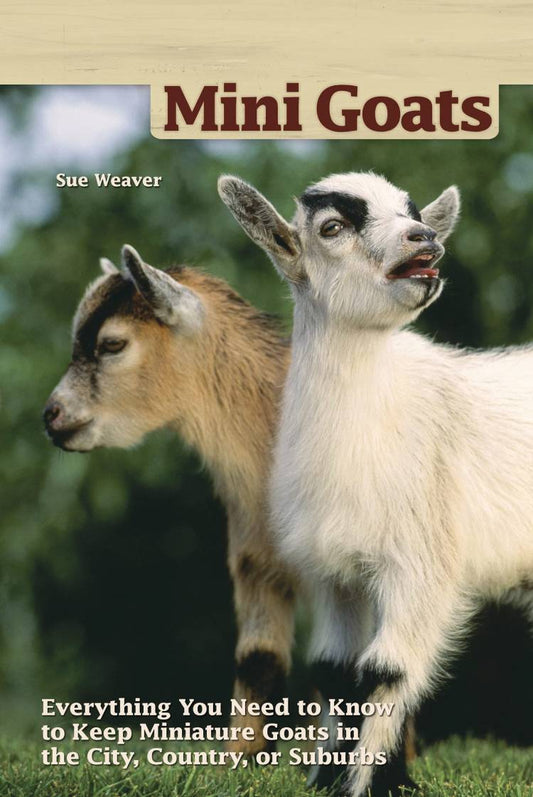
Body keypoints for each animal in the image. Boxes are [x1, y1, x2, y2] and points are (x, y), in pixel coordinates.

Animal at [218, 171, 533, 796]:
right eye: (332, 227)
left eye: (414, 212)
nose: (424, 238)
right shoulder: (333, 571)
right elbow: (335, 670)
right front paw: (325, 776)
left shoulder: (421, 559)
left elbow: (385, 670)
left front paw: (372, 783)